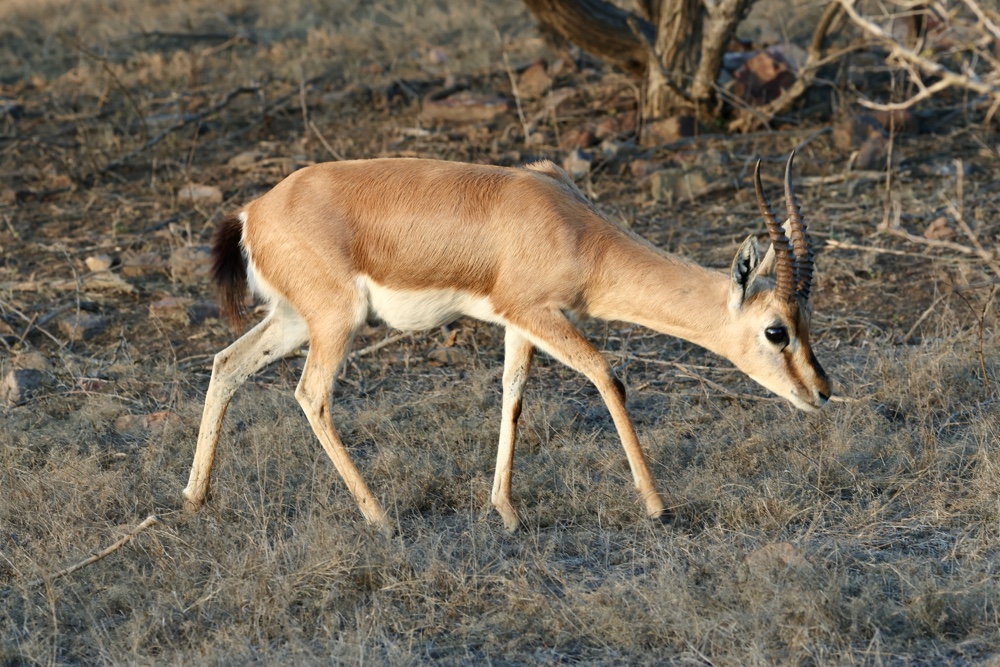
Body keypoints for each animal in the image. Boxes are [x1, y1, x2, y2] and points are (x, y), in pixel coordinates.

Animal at [182, 152, 830, 534]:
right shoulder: (538, 313)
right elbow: (607, 375)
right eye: (776, 330)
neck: (573, 227)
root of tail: (253, 212)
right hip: (336, 323)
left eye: (807, 320)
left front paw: (507, 510)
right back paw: (380, 517)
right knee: (311, 394)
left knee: (226, 364)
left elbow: (512, 395)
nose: (821, 391)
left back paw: (194, 497)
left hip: (293, 321)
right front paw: (656, 505)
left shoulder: (519, 322)